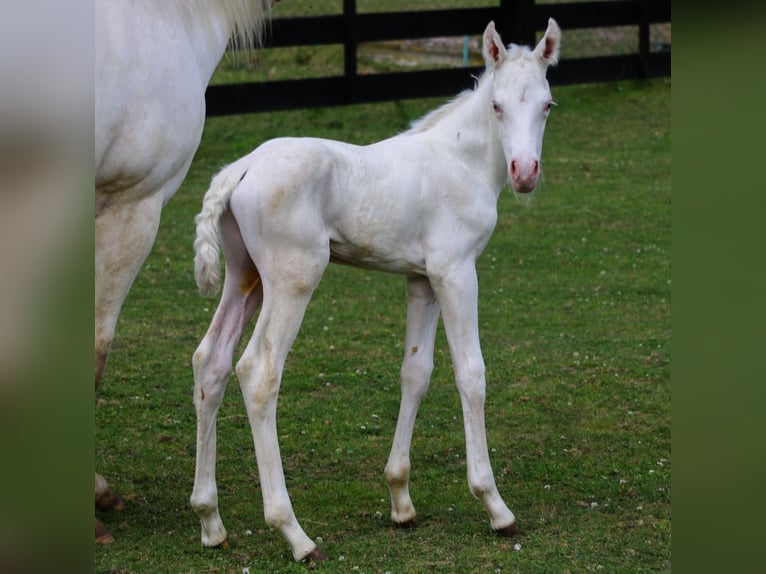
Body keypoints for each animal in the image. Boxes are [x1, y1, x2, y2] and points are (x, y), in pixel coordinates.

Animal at [190, 20, 564, 564]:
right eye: (497, 105)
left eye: (546, 104)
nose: (525, 173)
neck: (460, 160)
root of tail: (241, 168)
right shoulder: (456, 272)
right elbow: (471, 373)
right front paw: (495, 506)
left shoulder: (422, 279)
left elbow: (416, 373)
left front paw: (401, 500)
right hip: (294, 278)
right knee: (258, 371)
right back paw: (295, 534)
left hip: (246, 279)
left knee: (211, 362)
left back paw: (210, 521)